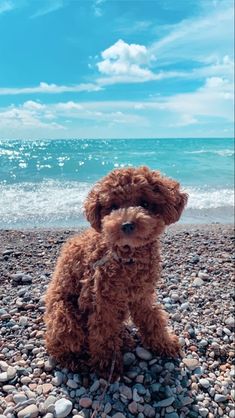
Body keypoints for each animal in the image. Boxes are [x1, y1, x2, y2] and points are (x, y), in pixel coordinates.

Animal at [44, 167, 187, 378]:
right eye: (112, 206)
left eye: (145, 203)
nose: (126, 225)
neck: (128, 257)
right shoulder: (102, 302)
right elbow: (103, 334)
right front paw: (107, 364)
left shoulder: (142, 295)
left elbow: (152, 319)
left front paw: (164, 343)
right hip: (64, 316)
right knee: (61, 343)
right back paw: (74, 360)